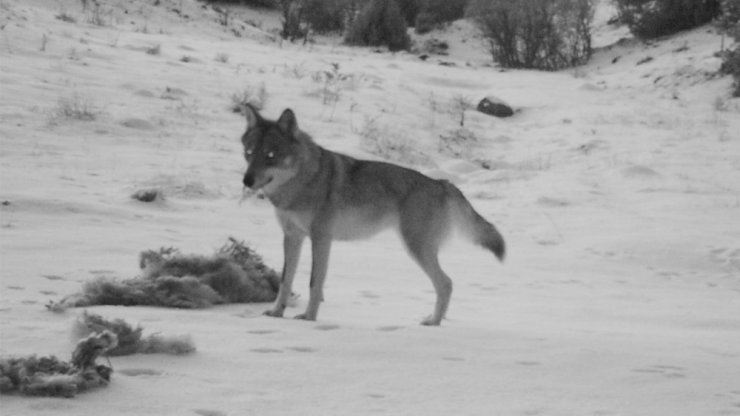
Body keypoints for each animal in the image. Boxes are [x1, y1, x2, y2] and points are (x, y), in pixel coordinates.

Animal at [240, 105, 506, 326]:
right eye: (249, 153)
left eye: (271, 156)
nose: (246, 180)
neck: (302, 183)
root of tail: (442, 182)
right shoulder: (292, 237)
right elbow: (286, 280)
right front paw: (277, 313)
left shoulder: (321, 239)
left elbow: (315, 282)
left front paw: (308, 318)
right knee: (445, 284)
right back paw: (433, 320)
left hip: (416, 248)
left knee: (446, 283)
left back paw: (433, 322)